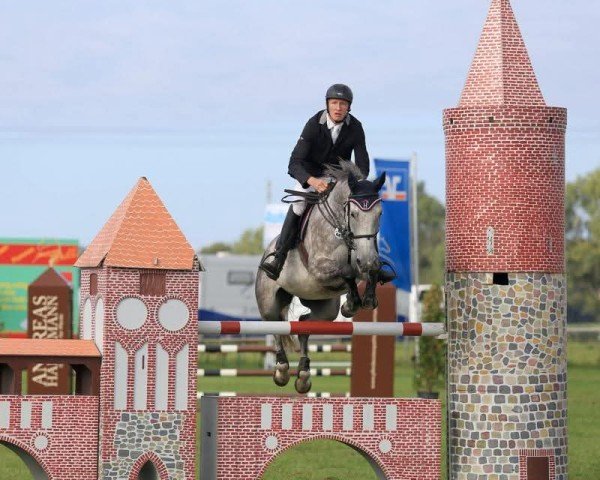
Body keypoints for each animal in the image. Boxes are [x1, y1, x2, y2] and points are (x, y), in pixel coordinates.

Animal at [254, 159, 386, 392]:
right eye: (354, 214)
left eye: (379, 214)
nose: (367, 260)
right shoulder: (318, 268)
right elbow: (346, 272)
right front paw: (352, 304)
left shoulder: (365, 259)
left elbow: (368, 272)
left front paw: (363, 300)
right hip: (268, 301)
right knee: (276, 325)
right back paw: (282, 370)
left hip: (324, 308)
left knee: (304, 325)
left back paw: (304, 374)